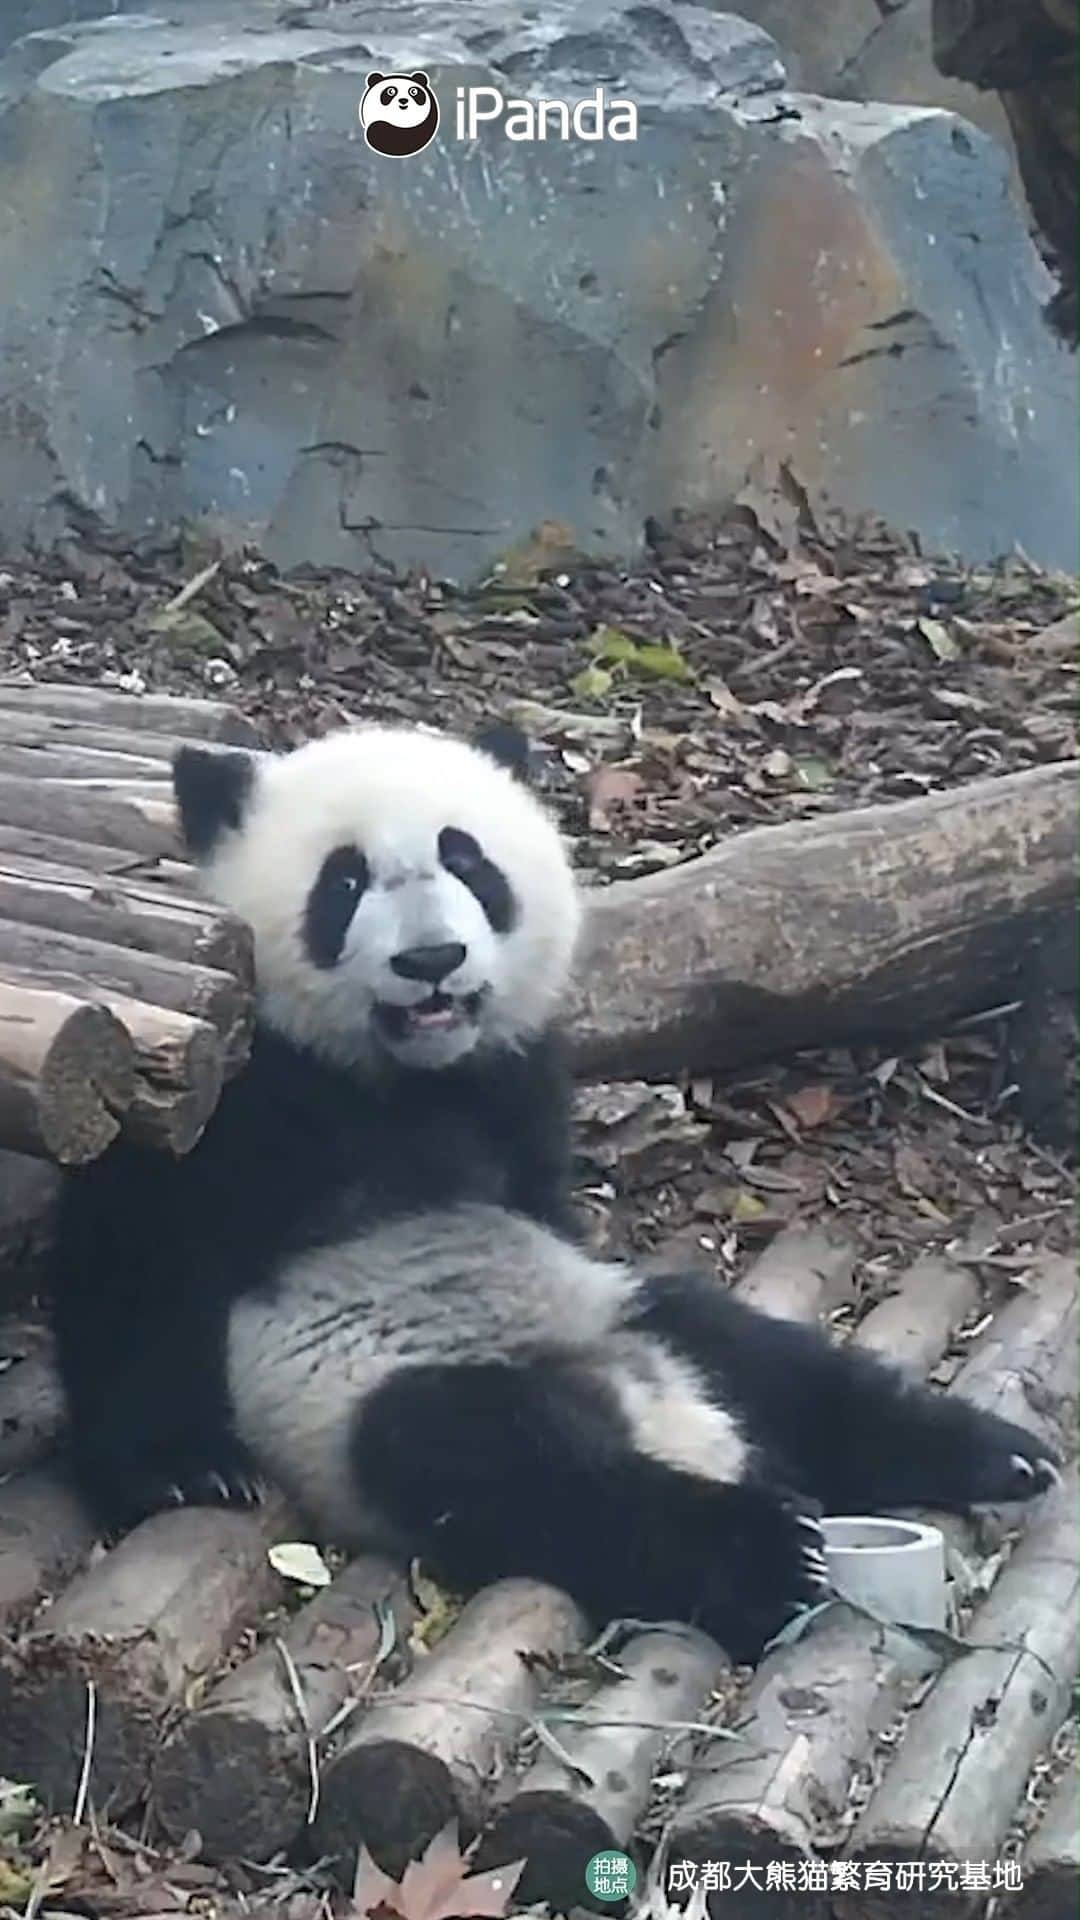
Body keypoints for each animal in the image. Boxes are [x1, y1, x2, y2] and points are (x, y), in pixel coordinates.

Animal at [48, 722, 1060, 1665]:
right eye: (344, 882)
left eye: (469, 861)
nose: (432, 958)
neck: (404, 1077)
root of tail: (660, 1413)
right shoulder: (224, 1078)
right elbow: (136, 1263)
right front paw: (184, 1470)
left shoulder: (518, 1084)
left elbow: (545, 1201)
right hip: (372, 1403)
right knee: (507, 1466)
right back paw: (767, 1553)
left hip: (625, 1309)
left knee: (769, 1363)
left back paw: (990, 1453)